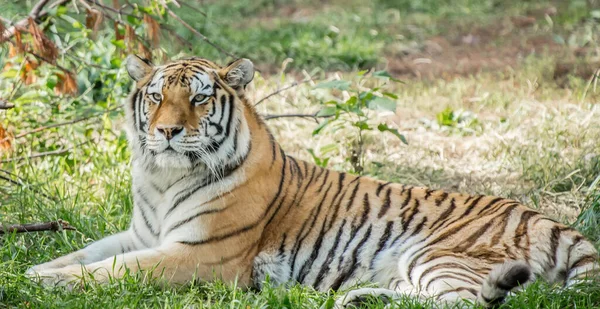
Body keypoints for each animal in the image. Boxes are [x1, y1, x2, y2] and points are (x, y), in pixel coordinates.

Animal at [25, 54, 596, 306]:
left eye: (200, 98)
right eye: (156, 96)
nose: (166, 132)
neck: (164, 179)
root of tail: (548, 219)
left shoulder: (199, 255)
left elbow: (116, 270)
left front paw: (48, 283)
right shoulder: (141, 234)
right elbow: (85, 253)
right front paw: (35, 271)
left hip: (435, 253)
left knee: (468, 301)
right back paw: (361, 299)